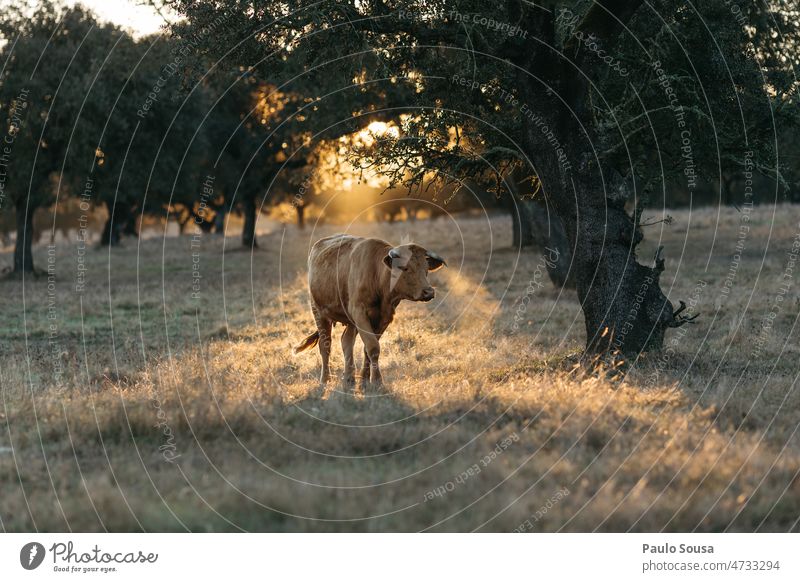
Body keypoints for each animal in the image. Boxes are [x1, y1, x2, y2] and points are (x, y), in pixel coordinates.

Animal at [294, 235, 446, 390]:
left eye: (426, 269)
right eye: (404, 268)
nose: (429, 292)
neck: (377, 276)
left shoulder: (383, 318)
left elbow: (368, 349)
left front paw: (365, 381)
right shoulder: (360, 314)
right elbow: (373, 347)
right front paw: (377, 381)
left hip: (350, 321)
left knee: (346, 341)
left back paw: (349, 379)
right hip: (319, 313)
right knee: (326, 346)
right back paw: (325, 380)